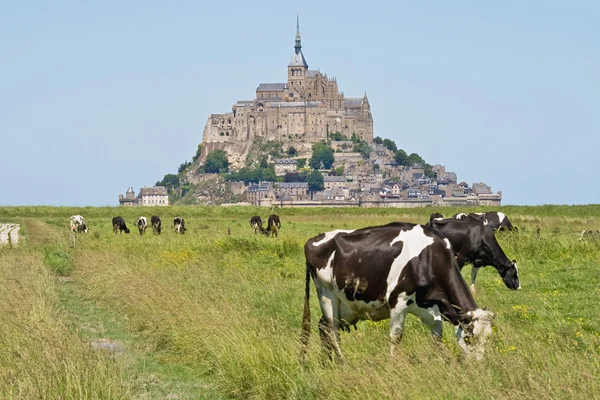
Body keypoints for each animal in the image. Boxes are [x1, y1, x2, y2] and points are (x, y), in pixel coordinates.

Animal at [298, 222, 492, 362]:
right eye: (469, 338)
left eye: (487, 339)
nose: (478, 364)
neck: (429, 258)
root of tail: (313, 240)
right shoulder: (397, 301)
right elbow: (395, 337)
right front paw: (392, 364)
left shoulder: (433, 310)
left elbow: (437, 340)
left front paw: (446, 362)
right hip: (326, 293)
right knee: (332, 330)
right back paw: (342, 362)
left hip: (344, 304)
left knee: (323, 327)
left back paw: (327, 362)